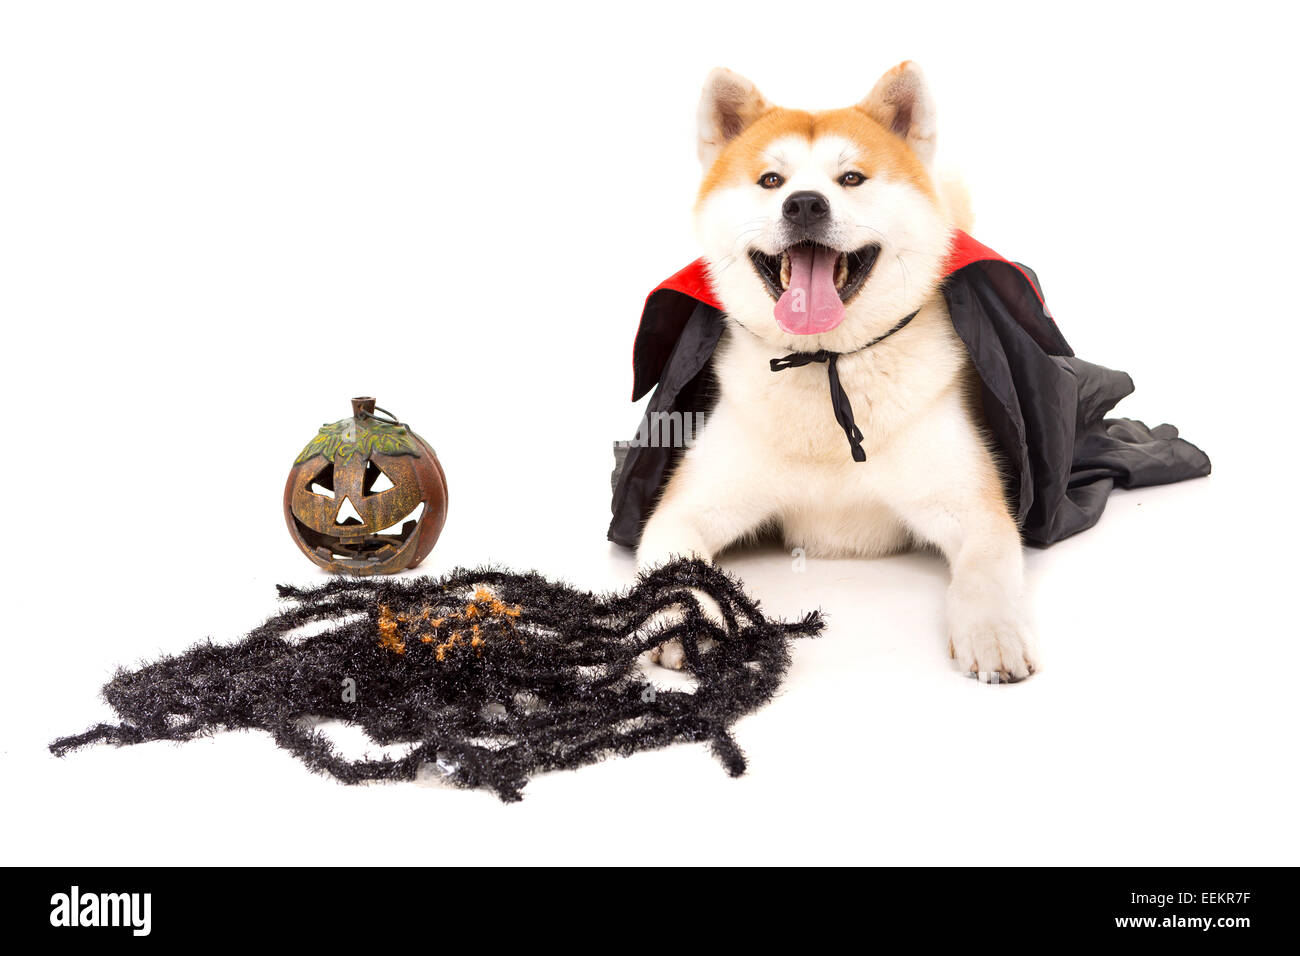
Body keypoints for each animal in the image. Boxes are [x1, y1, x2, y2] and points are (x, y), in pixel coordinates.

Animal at [639, 63, 1034, 686]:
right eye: (771, 180)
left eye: (851, 178)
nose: (804, 204)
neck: (828, 368)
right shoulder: (683, 509)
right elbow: (676, 571)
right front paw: (690, 623)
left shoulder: (975, 507)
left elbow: (987, 567)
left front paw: (992, 631)